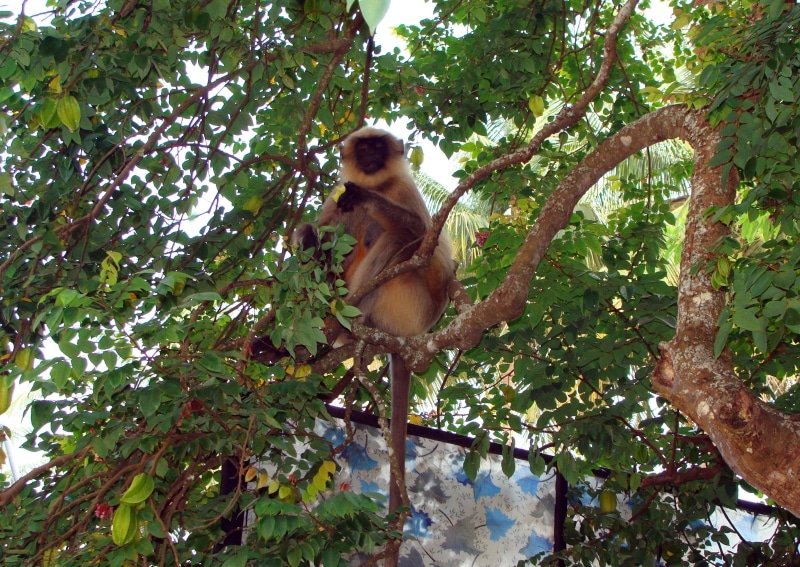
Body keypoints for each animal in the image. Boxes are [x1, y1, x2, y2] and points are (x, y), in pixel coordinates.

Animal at [293, 127, 455, 562]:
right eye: (363, 148)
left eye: (377, 148)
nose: (369, 156)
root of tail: (411, 338)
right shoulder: (335, 198)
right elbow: (324, 221)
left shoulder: (403, 190)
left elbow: (420, 233)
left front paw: (364, 197)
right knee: (325, 231)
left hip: (408, 300)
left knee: (398, 236)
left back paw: (352, 322)